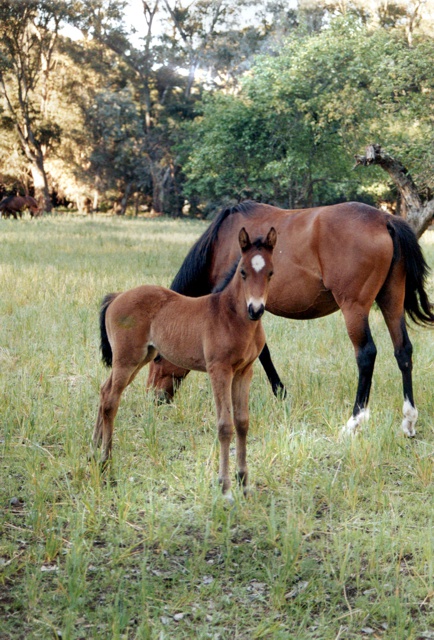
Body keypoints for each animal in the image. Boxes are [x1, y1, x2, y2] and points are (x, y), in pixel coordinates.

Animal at [94, 228, 276, 498]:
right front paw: (224, 487)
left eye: (271, 272)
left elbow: (242, 422)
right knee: (110, 399)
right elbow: (225, 425)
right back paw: (106, 463)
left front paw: (243, 483)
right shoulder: (219, 370)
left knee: (104, 390)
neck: (231, 316)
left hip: (140, 358)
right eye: (243, 272)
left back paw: (94, 449)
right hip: (127, 359)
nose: (256, 309)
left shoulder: (245, 371)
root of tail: (117, 296)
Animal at [148, 201, 434, 436]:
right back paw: (409, 421)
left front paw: (279, 393)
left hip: (355, 307)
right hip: (391, 299)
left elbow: (261, 354)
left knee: (366, 355)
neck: (223, 242)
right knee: (403, 351)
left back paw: (354, 422)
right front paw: (281, 394)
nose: (154, 398)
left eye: (158, 357)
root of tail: (384, 219)